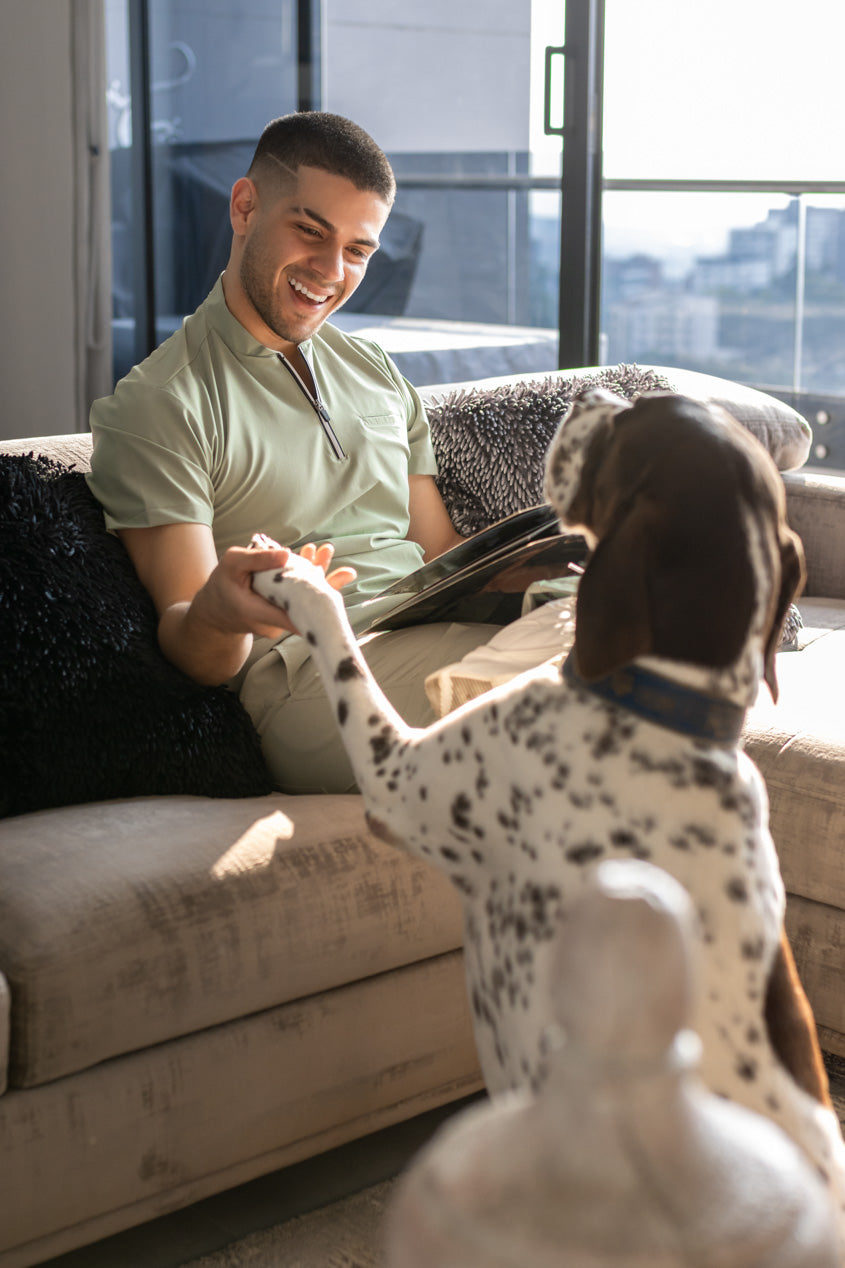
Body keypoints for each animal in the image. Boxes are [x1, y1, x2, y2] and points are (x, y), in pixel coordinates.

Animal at [253, 388, 842, 1227]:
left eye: (629, 422)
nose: (589, 392)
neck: (665, 705)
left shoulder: (395, 780)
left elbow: (339, 637)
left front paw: (295, 578)